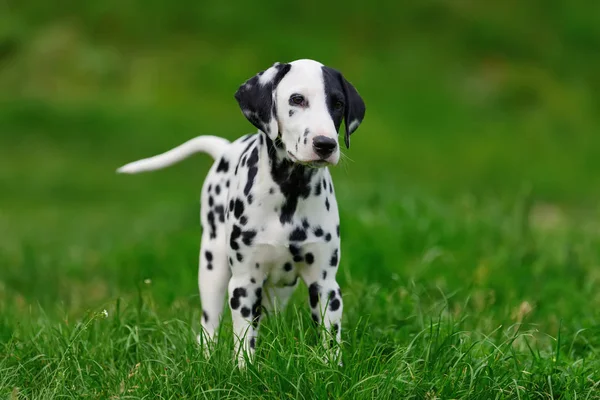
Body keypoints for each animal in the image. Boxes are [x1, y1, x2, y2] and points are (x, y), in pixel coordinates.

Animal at [115, 58, 364, 366]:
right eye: (297, 99)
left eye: (338, 104)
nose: (325, 144)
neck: (289, 193)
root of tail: (224, 149)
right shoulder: (244, 284)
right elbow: (244, 338)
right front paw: (244, 369)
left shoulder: (325, 284)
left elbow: (329, 337)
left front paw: (332, 368)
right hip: (212, 268)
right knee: (208, 326)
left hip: (279, 289)